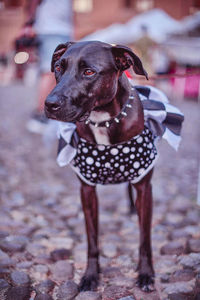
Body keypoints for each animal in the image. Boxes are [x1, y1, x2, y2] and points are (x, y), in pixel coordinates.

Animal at [44, 41, 184, 292]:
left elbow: (145, 238)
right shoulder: (87, 190)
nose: (50, 104)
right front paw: (90, 276)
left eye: (89, 72)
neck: (103, 120)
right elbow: (92, 239)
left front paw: (146, 274)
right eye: (59, 67)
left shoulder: (144, 186)